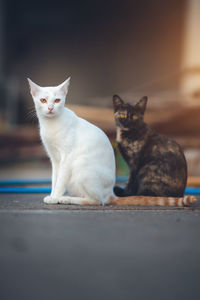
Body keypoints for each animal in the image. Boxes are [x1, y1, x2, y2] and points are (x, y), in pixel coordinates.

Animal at [27, 77, 116, 205]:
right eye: (43, 100)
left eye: (57, 100)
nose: (50, 108)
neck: (51, 124)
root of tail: (111, 193)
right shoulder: (55, 159)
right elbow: (55, 179)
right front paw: (52, 195)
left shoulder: (67, 157)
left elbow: (60, 180)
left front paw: (55, 197)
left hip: (81, 164)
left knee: (95, 201)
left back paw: (66, 199)